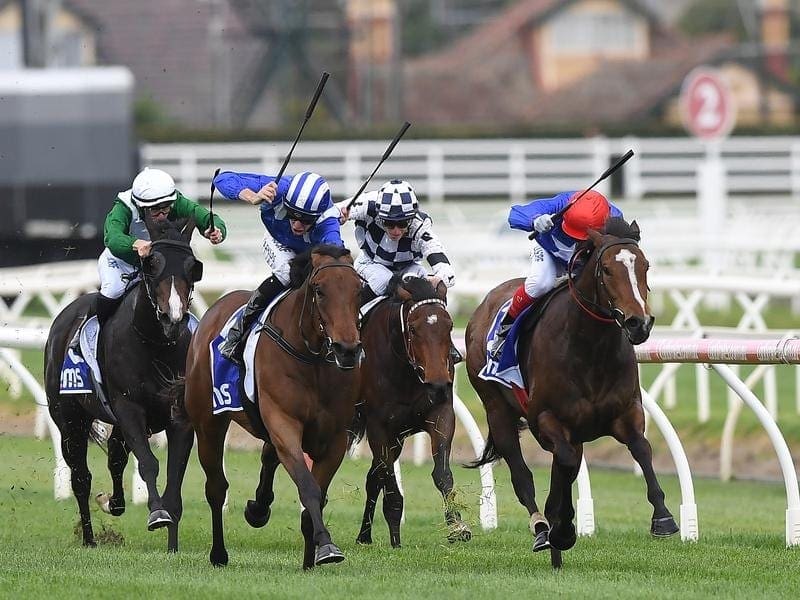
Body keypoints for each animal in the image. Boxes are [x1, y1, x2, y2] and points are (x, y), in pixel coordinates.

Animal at [43, 218, 203, 552]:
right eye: (151, 263)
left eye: (192, 266)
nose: (173, 317)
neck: (156, 345)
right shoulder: (129, 409)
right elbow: (149, 464)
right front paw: (157, 514)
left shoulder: (178, 417)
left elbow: (174, 474)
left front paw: (173, 545)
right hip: (70, 419)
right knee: (81, 477)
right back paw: (89, 538)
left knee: (115, 458)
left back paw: (112, 503)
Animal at [183, 243, 360, 568]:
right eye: (319, 290)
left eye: (359, 289)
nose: (347, 349)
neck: (311, 358)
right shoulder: (283, 423)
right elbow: (308, 487)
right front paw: (327, 546)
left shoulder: (334, 439)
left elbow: (317, 494)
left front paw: (311, 558)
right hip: (208, 423)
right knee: (216, 487)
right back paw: (219, 553)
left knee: (267, 456)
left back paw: (258, 508)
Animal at [348, 276, 468, 548]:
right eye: (413, 329)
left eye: (449, 326)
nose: (438, 384)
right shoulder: (379, 427)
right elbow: (390, 485)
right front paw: (395, 538)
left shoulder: (440, 414)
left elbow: (442, 474)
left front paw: (457, 525)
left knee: (373, 478)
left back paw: (364, 535)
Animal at [466, 217, 680, 568]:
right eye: (606, 269)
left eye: (646, 265)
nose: (639, 323)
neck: (590, 347)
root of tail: (483, 305)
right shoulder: (546, 420)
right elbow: (562, 465)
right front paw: (562, 527)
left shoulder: (626, 413)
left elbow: (642, 450)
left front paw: (663, 517)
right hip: (497, 409)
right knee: (522, 476)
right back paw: (543, 529)